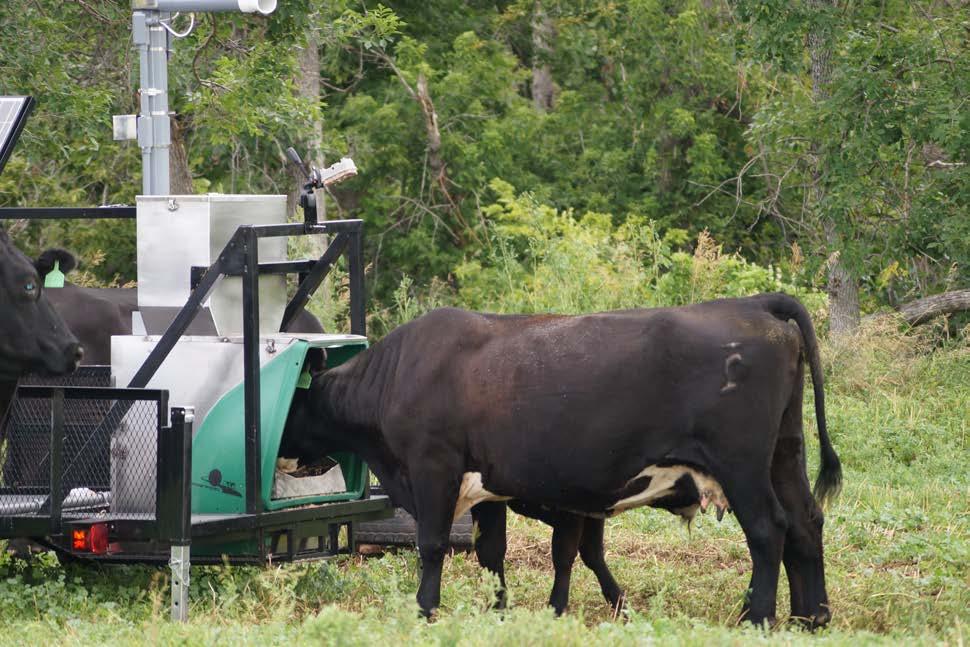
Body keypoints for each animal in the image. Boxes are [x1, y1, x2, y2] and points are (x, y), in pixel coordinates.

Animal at [280, 296, 840, 632]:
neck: (397, 375)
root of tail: (752, 304)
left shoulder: (432, 467)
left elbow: (434, 545)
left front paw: (425, 609)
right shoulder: (487, 487)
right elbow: (492, 552)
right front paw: (499, 610)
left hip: (740, 464)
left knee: (769, 530)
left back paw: (756, 617)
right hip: (784, 453)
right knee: (806, 524)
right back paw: (811, 616)